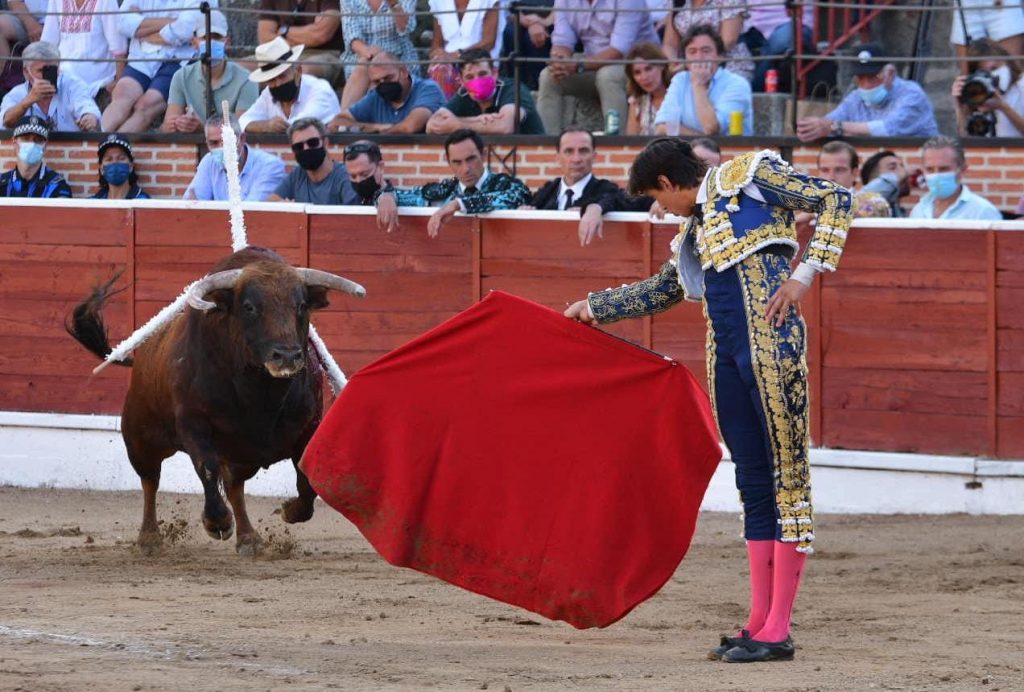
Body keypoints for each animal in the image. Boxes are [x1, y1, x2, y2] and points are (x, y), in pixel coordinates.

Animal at [67, 245, 364, 552]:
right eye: (249, 307)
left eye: (302, 305)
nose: (287, 356)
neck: (260, 393)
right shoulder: (193, 423)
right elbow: (206, 468)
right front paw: (217, 523)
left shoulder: (308, 425)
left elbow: (306, 480)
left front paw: (289, 510)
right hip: (140, 437)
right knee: (150, 480)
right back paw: (149, 537)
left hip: (239, 456)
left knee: (234, 487)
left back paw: (248, 537)